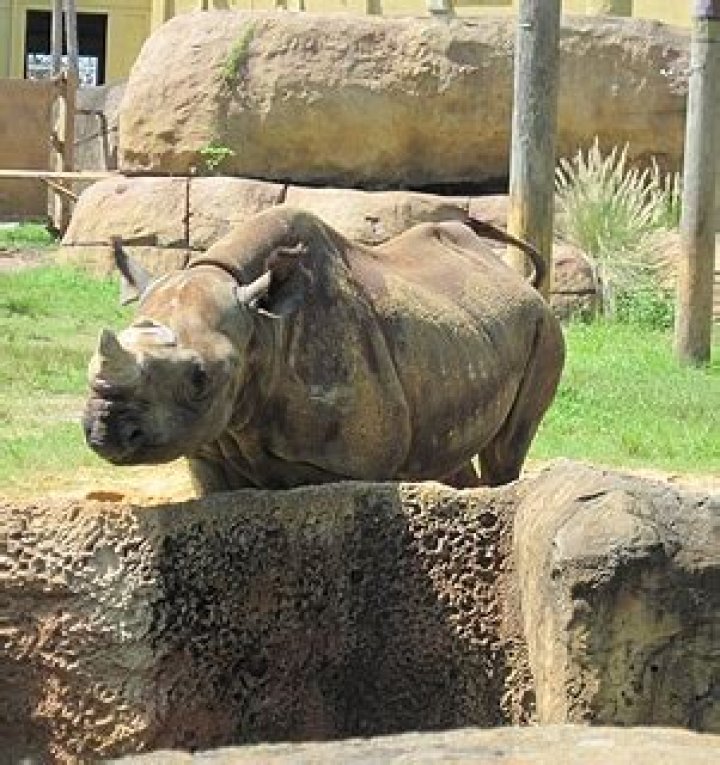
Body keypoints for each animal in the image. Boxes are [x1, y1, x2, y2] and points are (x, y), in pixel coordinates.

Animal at [83, 207, 564, 493]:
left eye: (200, 378)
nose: (106, 430)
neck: (261, 327)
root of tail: (516, 279)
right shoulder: (208, 453)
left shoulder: (354, 466)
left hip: (545, 329)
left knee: (506, 452)